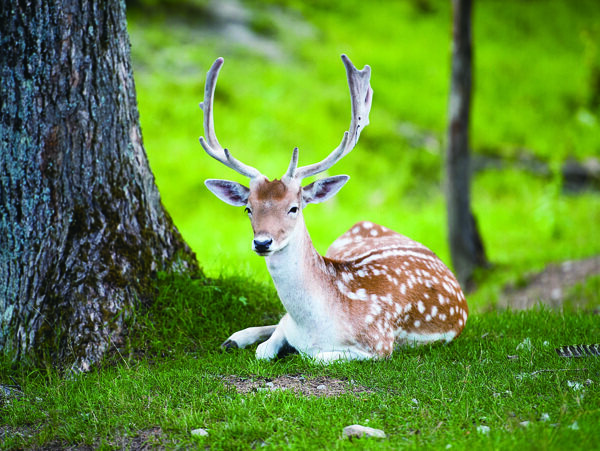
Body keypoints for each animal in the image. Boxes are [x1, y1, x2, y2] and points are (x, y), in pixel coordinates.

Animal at [199, 54, 466, 364]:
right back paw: (234, 338)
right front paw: (249, 341)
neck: (314, 326)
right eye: (248, 209)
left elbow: (313, 357)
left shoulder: (380, 344)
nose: (263, 242)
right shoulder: (289, 325)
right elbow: (266, 348)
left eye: (294, 208)